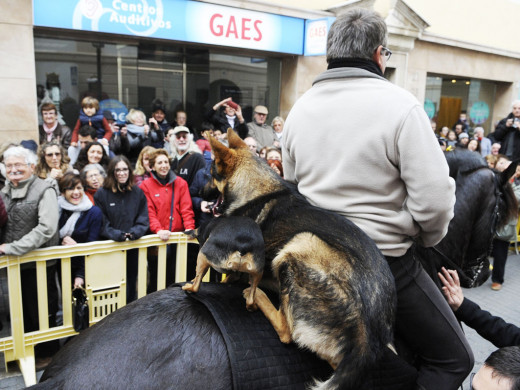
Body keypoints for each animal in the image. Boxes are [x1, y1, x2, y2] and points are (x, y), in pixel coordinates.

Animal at [205, 129, 396, 388]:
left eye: (210, 174)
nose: (200, 191)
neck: (255, 187)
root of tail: (367, 335)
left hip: (299, 244)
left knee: (287, 331)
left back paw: (258, 295)